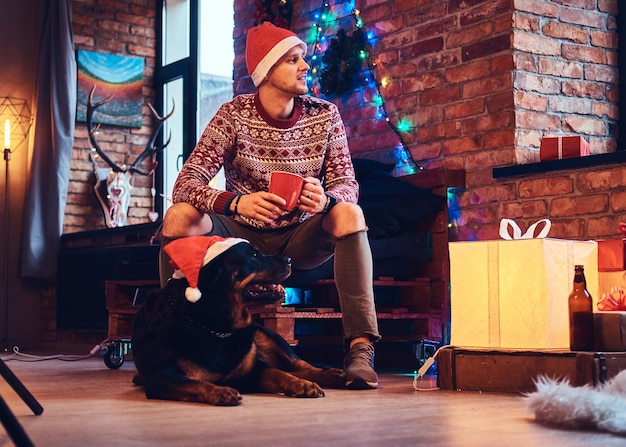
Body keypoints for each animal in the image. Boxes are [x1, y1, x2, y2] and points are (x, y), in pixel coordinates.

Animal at [132, 236, 346, 408]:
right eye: (254, 256)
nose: (289, 260)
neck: (215, 326)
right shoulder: (162, 375)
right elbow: (194, 383)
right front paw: (220, 391)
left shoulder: (252, 372)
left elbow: (279, 373)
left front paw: (301, 384)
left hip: (267, 335)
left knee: (299, 365)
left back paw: (330, 374)